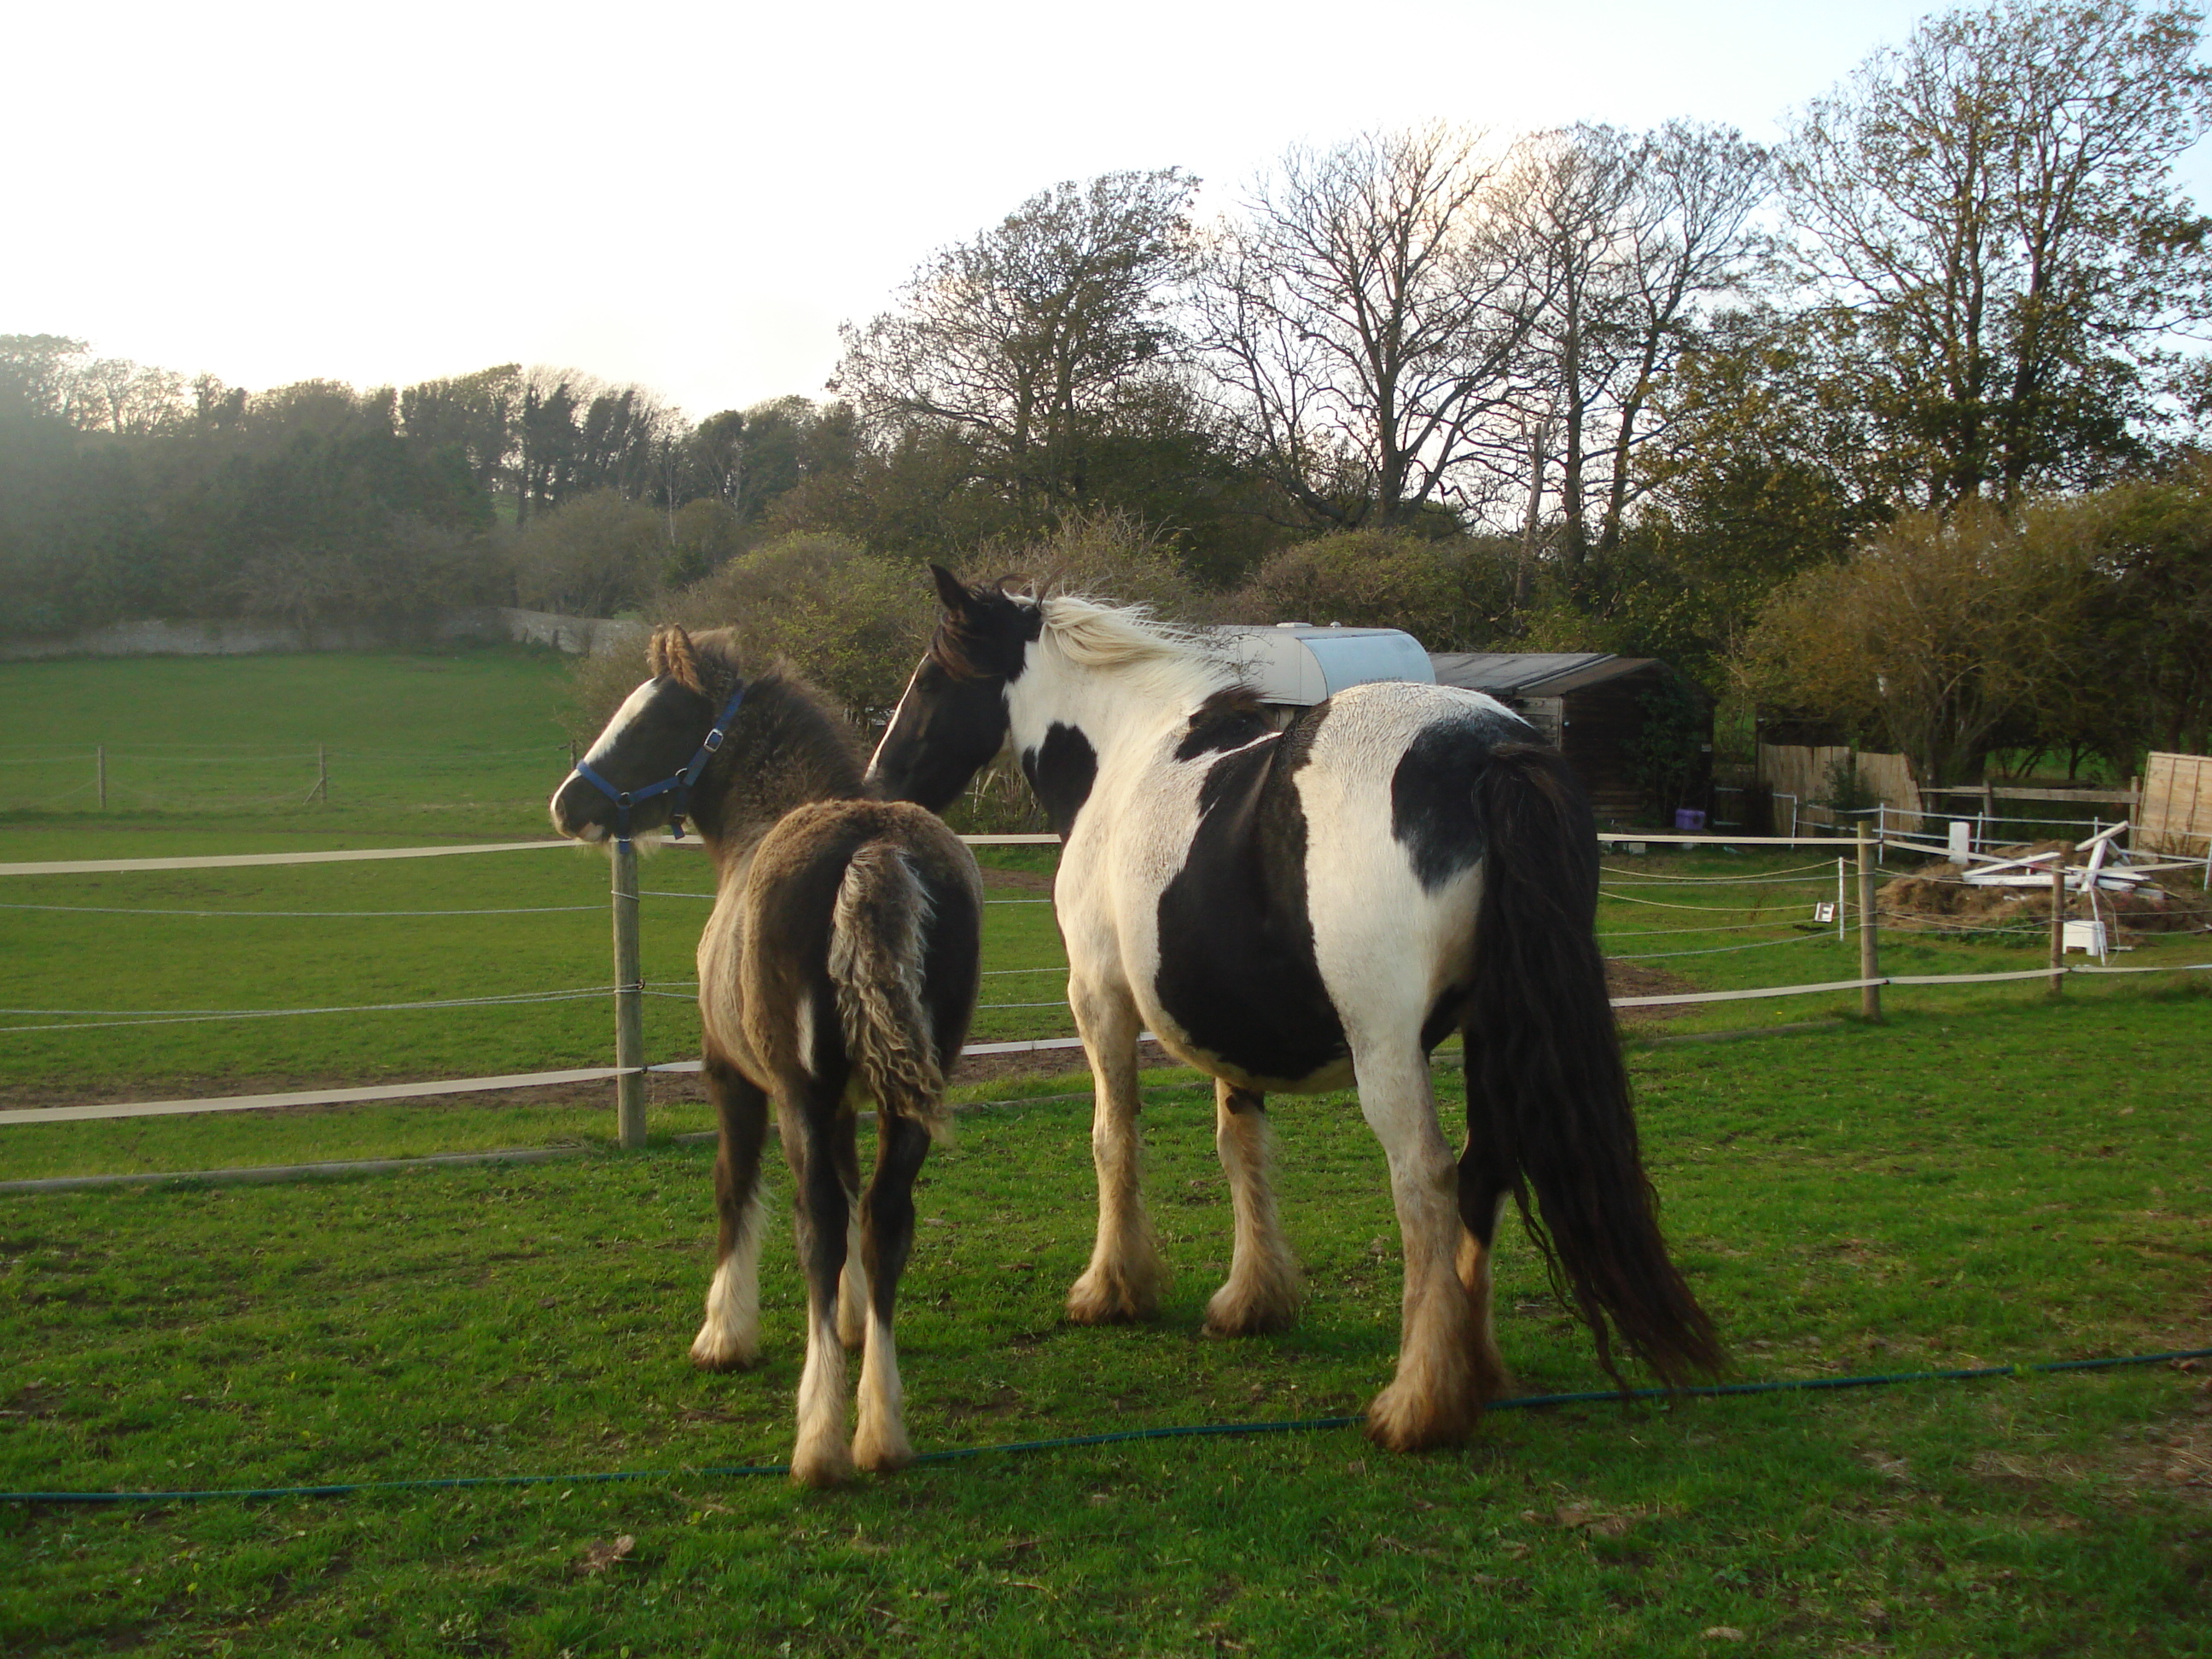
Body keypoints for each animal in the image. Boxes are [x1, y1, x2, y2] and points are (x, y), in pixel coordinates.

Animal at [550, 625, 983, 1486]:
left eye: (654, 721)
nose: (567, 804)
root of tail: (872, 850)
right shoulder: (848, 1100)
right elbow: (853, 1194)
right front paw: (852, 1321)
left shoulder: (736, 1080)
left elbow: (734, 1188)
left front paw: (725, 1332)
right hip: (907, 1098)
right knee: (885, 1217)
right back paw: (881, 1428)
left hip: (797, 1094)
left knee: (817, 1220)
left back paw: (819, 1440)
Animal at [867, 567, 1723, 1451]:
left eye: (930, 677)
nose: (879, 786)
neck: (1127, 760)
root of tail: (1491, 751)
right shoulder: (1230, 1024)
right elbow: (1239, 1147)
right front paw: (1253, 1301)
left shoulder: (1097, 997)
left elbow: (1113, 1140)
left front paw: (1111, 1289)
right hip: (1494, 1031)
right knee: (1484, 1167)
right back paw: (1472, 1371)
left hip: (1388, 1048)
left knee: (1427, 1178)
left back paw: (1417, 1403)